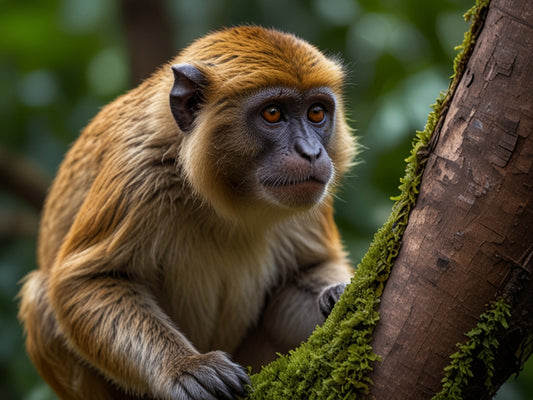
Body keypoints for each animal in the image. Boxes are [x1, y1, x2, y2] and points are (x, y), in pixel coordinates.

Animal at [16, 26, 358, 398]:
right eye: (272, 114)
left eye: (316, 113)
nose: (311, 152)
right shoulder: (139, 173)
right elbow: (83, 283)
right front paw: (184, 368)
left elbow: (312, 268)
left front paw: (337, 295)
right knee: (40, 298)